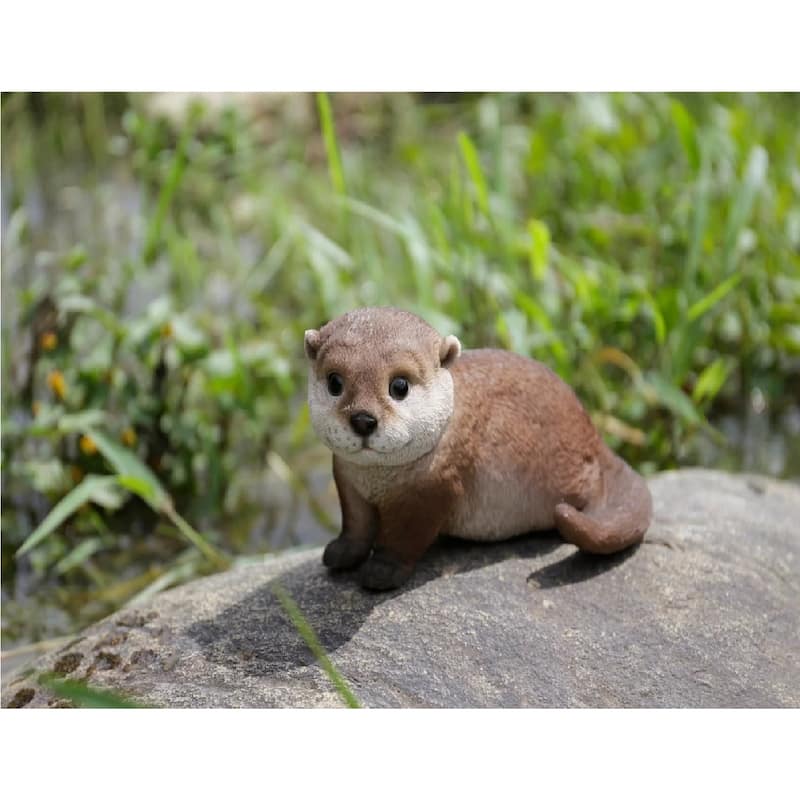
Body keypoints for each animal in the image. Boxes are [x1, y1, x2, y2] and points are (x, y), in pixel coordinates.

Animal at [304, 307, 652, 590]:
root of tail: (594, 438)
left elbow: (405, 537)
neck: (377, 480)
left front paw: (383, 571)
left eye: (399, 386)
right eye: (335, 383)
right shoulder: (347, 479)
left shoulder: (433, 489)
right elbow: (356, 524)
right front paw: (341, 553)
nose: (363, 420)